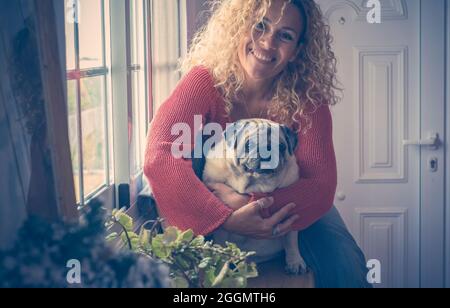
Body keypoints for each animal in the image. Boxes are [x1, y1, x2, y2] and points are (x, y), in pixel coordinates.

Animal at [195, 119, 308, 276]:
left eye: (281, 147)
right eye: (249, 145)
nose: (267, 152)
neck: (257, 183)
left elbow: (291, 241)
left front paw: (295, 261)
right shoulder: (222, 230)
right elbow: (221, 243)